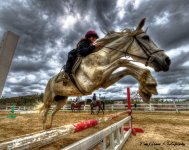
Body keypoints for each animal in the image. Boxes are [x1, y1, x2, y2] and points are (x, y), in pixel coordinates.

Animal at [37, 18, 171, 129]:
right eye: (146, 38)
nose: (167, 60)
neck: (102, 57)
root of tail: (49, 81)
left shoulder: (103, 81)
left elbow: (126, 67)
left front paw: (147, 87)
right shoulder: (93, 80)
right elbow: (122, 61)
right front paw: (149, 84)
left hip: (62, 101)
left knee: (53, 113)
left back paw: (49, 127)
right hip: (48, 99)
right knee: (44, 113)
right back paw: (44, 130)